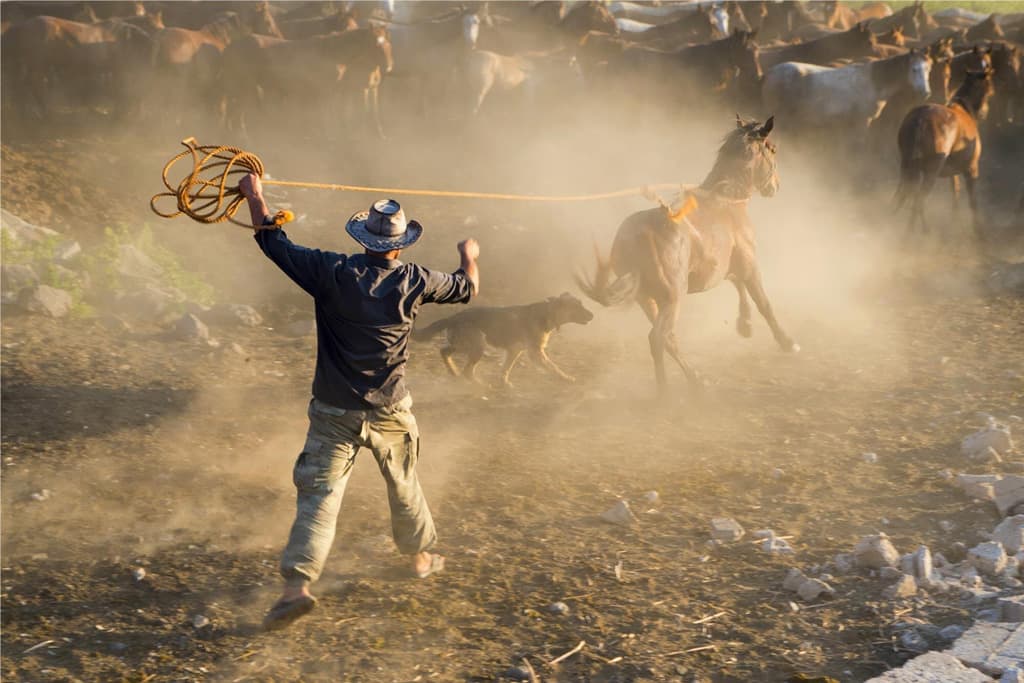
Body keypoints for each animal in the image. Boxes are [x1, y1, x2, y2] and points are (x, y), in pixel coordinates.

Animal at [413, 294, 598, 387]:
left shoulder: (515, 351)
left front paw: (505, 383)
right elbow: (553, 367)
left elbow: (505, 369)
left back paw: (454, 372)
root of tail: (453, 317)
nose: (593, 315)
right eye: (577, 307)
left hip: (462, 344)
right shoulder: (535, 352)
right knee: (467, 371)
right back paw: (478, 384)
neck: (547, 314)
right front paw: (566, 379)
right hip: (477, 346)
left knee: (444, 351)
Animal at [577, 116, 790, 395]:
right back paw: (665, 393)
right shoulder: (750, 264)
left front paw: (745, 325)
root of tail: (640, 234)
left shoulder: (727, 268)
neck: (726, 202)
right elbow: (764, 303)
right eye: (772, 149)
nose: (776, 186)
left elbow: (739, 286)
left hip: (647, 298)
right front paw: (787, 342)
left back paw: (696, 379)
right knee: (658, 338)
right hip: (673, 297)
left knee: (669, 339)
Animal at [901, 68, 995, 236]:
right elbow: (972, 200)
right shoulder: (971, 168)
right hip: (930, 172)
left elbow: (955, 194)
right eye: (989, 90)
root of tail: (920, 119)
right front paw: (978, 231)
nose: (984, 113)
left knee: (909, 197)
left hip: (908, 168)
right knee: (918, 200)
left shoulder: (953, 172)